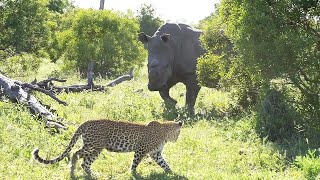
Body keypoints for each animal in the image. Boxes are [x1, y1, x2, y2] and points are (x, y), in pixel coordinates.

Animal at [33, 119, 182, 177]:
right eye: (179, 133)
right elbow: (135, 163)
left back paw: (89, 174)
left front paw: (172, 173)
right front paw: (132, 173)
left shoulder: (155, 154)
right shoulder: (140, 150)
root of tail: (86, 122)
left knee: (83, 161)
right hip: (94, 146)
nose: (177, 140)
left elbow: (164, 163)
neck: (164, 132)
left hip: (93, 147)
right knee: (77, 154)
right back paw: (76, 171)